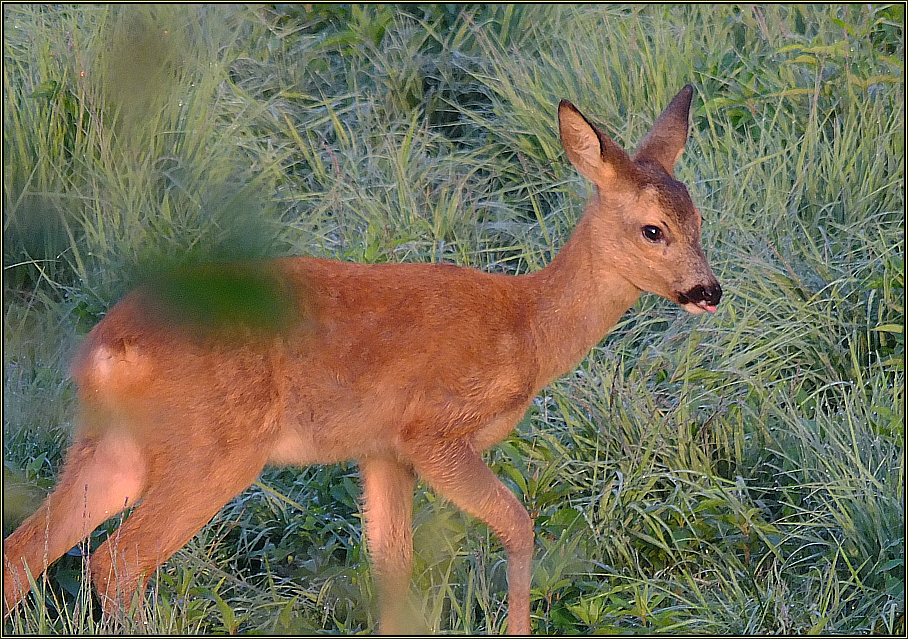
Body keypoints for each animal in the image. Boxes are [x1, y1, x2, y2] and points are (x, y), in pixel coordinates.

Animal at [1, 86, 724, 636]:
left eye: (698, 221)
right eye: (653, 229)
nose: (708, 292)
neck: (527, 327)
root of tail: (107, 349)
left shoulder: (381, 451)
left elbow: (392, 566)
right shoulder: (432, 432)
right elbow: (519, 524)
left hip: (114, 446)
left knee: (24, 550)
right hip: (214, 448)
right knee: (118, 560)